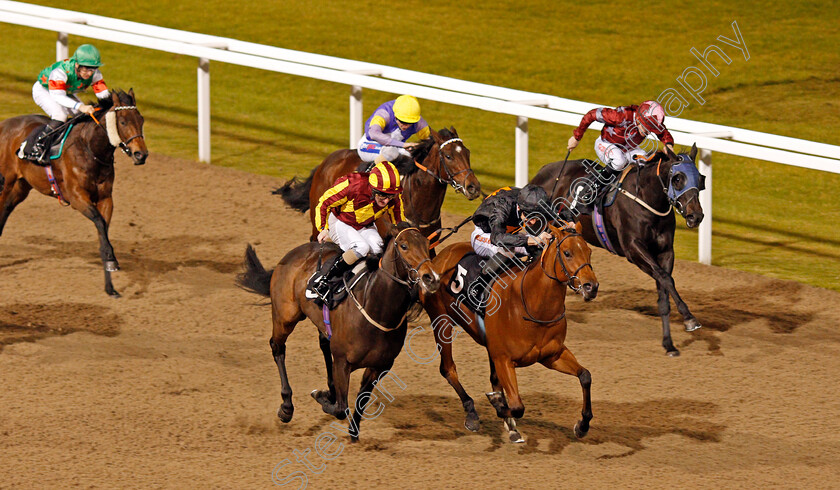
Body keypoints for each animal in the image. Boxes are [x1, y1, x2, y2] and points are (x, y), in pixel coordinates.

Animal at [0, 89, 148, 296]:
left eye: (141, 119)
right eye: (123, 122)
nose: (141, 155)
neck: (90, 149)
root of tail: (3, 124)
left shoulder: (105, 199)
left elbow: (103, 230)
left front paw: (110, 283)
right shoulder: (77, 197)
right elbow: (99, 222)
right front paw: (112, 261)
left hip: (22, 186)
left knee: (5, 208)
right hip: (6, 180)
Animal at [236, 224, 440, 442]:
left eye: (428, 245)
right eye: (404, 246)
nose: (431, 278)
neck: (377, 308)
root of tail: (294, 252)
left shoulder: (380, 366)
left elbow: (360, 402)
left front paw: (353, 432)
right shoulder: (343, 362)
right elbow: (342, 409)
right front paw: (321, 397)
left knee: (324, 346)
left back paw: (329, 390)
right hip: (286, 316)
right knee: (277, 348)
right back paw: (287, 406)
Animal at [420, 223, 596, 444]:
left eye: (589, 251)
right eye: (567, 253)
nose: (592, 287)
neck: (532, 304)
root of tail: (439, 257)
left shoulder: (552, 355)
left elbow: (585, 376)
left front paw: (582, 425)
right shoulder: (504, 359)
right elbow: (517, 406)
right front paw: (498, 405)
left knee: (493, 378)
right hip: (441, 321)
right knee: (448, 369)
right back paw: (472, 414)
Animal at [536, 145, 704, 356]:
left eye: (701, 179)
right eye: (678, 178)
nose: (695, 215)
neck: (647, 199)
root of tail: (545, 170)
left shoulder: (665, 251)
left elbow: (664, 287)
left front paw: (669, 344)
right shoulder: (633, 249)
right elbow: (665, 278)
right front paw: (689, 318)